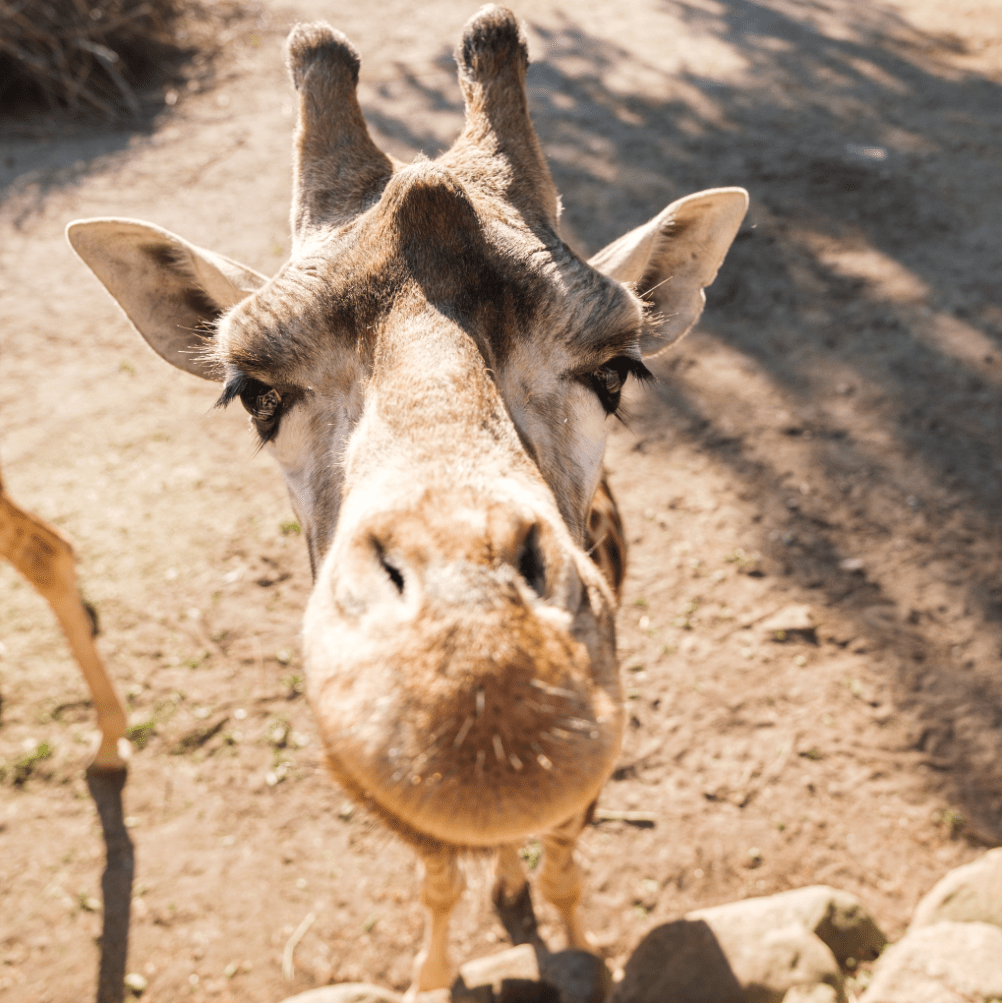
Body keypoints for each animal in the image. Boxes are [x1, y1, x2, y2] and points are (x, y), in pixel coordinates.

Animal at [66, 5, 750, 994]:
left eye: (616, 369)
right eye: (253, 390)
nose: (478, 675)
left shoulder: (595, 767)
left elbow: (567, 865)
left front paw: (581, 949)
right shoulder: (395, 807)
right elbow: (437, 882)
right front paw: (435, 973)